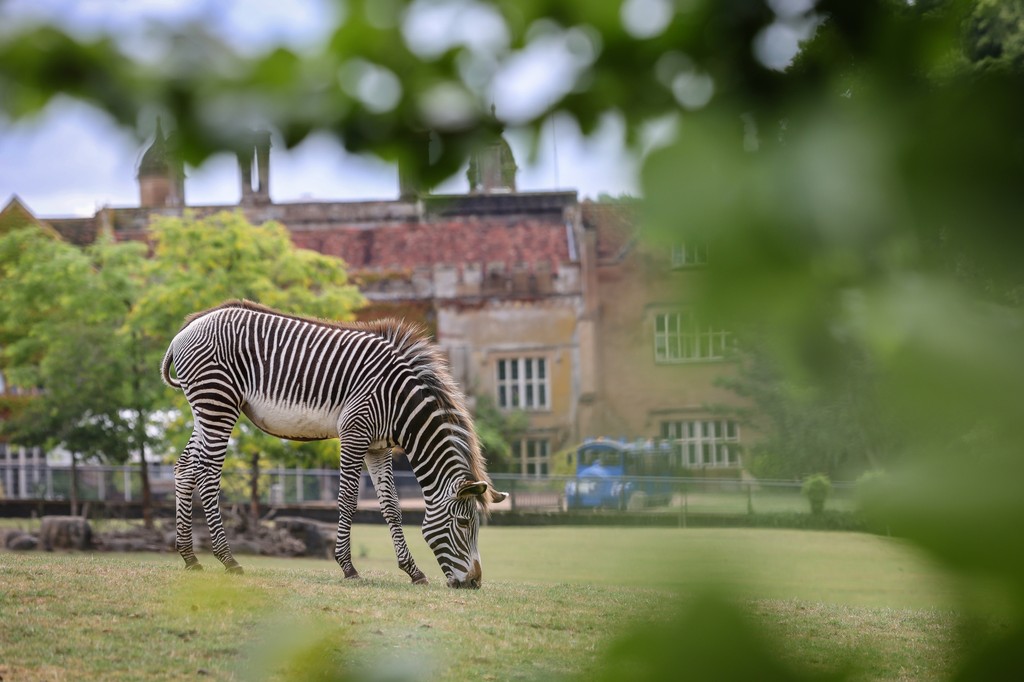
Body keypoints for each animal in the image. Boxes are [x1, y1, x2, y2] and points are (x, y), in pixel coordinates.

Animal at [160, 300, 507, 588]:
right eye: (463, 522)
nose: (474, 583)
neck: (401, 403)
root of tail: (185, 330)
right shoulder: (354, 433)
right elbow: (348, 500)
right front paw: (348, 567)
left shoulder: (378, 447)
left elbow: (391, 507)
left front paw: (413, 572)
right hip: (218, 403)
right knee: (207, 474)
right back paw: (228, 559)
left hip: (204, 409)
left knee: (186, 468)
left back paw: (190, 557)